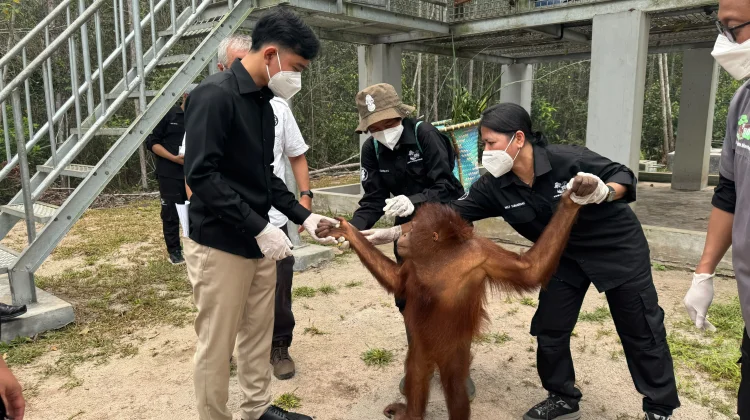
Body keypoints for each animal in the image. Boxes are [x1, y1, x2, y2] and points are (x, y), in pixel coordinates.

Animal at [316, 189, 583, 420]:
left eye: (413, 229)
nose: (402, 234)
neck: (439, 255)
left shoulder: (482, 255)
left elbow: (530, 269)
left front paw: (572, 201)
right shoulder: (411, 263)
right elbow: (397, 281)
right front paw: (347, 231)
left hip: (453, 351)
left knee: (455, 387)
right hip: (421, 349)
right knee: (417, 371)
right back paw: (411, 414)